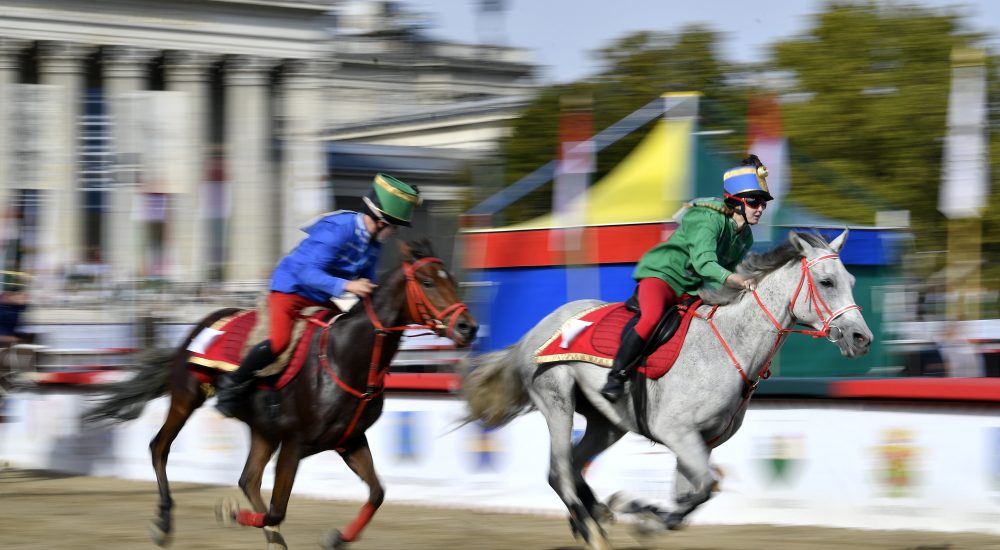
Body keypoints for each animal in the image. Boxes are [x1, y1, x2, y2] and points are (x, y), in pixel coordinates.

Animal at [84, 238, 478, 550]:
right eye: (427, 281)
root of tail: (197, 328)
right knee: (160, 448)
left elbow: (377, 493)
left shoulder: (348, 440)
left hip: (262, 429)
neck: (346, 356)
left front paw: (336, 537)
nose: (467, 327)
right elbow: (278, 509)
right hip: (187, 398)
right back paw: (164, 523)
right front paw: (228, 512)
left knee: (248, 479)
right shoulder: (294, 443)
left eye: (451, 279)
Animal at [459, 230, 872, 550]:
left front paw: (642, 513)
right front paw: (644, 515)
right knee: (559, 471)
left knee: (570, 466)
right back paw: (591, 526)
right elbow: (704, 488)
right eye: (827, 282)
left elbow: (692, 495)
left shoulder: (701, 442)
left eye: (852, 281)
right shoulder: (677, 431)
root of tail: (535, 331)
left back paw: (598, 513)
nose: (861, 338)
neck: (730, 346)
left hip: (606, 423)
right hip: (557, 401)